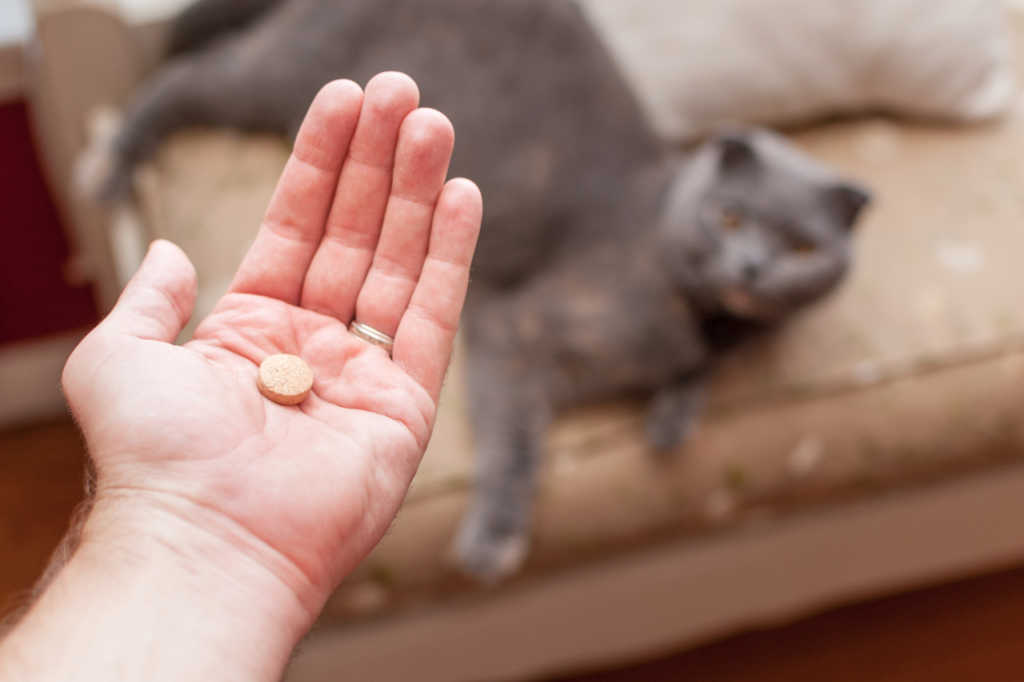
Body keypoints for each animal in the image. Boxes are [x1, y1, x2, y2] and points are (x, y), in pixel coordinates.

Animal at [92, 0, 868, 581]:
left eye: (802, 247)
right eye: (730, 216)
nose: (752, 266)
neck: (706, 321)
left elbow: (692, 382)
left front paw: (673, 416)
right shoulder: (517, 325)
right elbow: (518, 435)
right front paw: (495, 537)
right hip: (285, 72)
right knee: (184, 78)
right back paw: (108, 167)